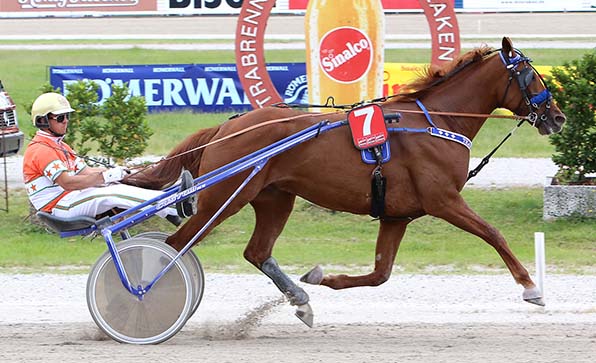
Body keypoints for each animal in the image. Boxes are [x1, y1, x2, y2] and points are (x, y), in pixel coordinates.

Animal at [124, 38, 564, 326]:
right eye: (531, 74)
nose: (557, 117)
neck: (436, 120)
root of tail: (226, 126)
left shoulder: (397, 215)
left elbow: (379, 274)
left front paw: (319, 278)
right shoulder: (443, 200)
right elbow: (493, 233)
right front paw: (532, 288)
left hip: (274, 198)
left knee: (256, 251)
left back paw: (300, 300)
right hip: (224, 198)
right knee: (175, 246)